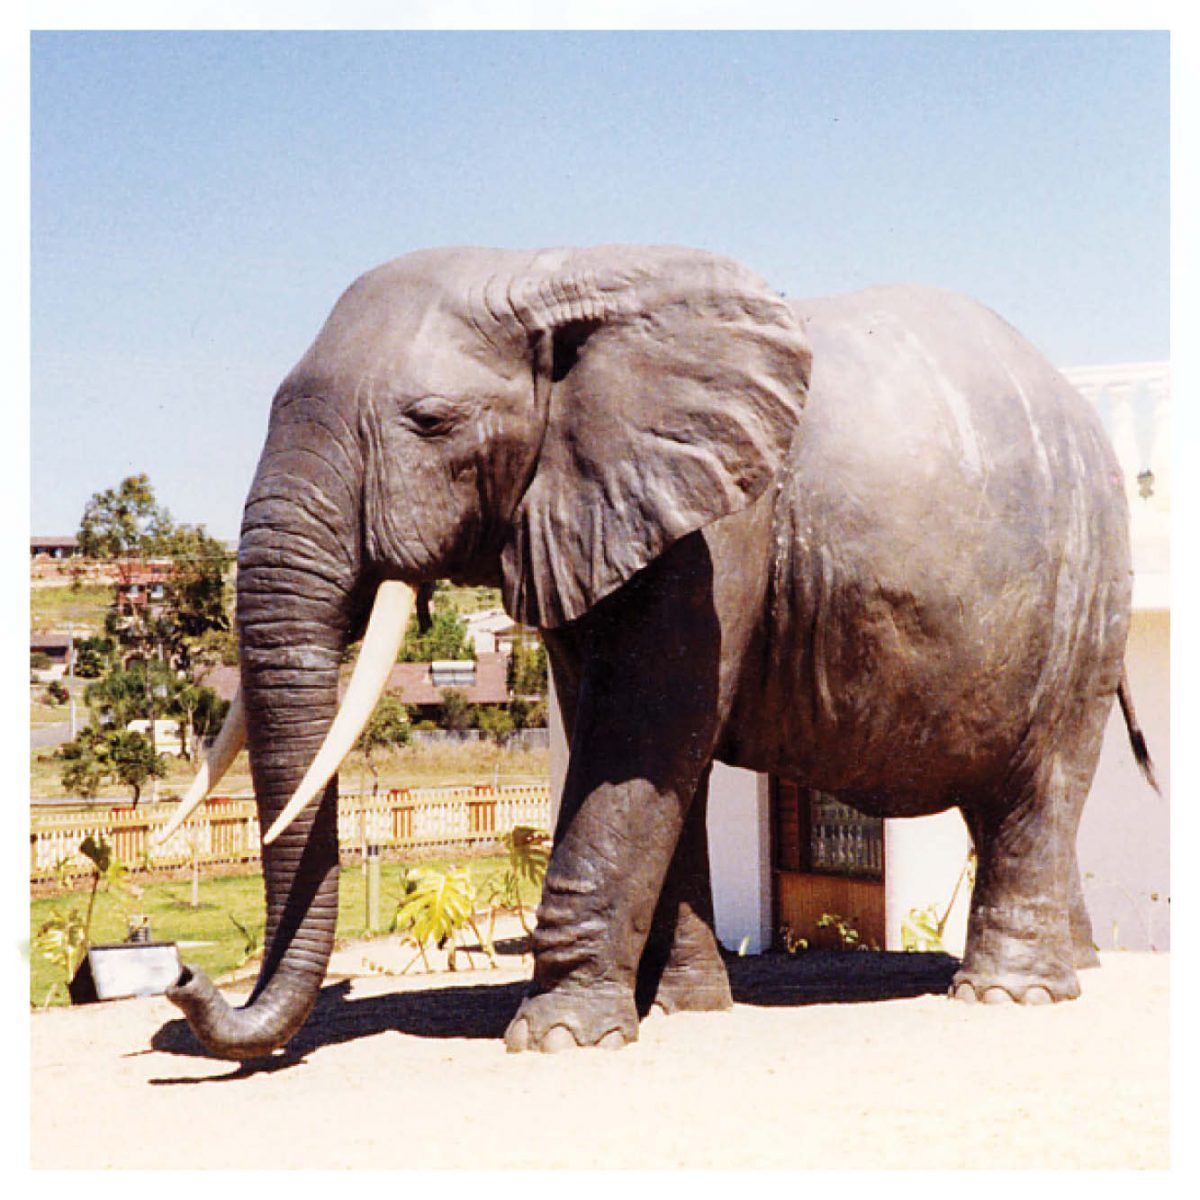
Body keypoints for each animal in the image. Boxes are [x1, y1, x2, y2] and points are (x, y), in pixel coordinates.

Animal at [161, 244, 1155, 1059]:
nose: (181, 975)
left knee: (1040, 784)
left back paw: (1006, 996)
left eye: (431, 421)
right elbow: (650, 757)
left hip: (1090, 585)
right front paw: (683, 1011)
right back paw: (1078, 971)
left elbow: (642, 736)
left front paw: (560, 1040)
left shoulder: (719, 532)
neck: (549, 273)